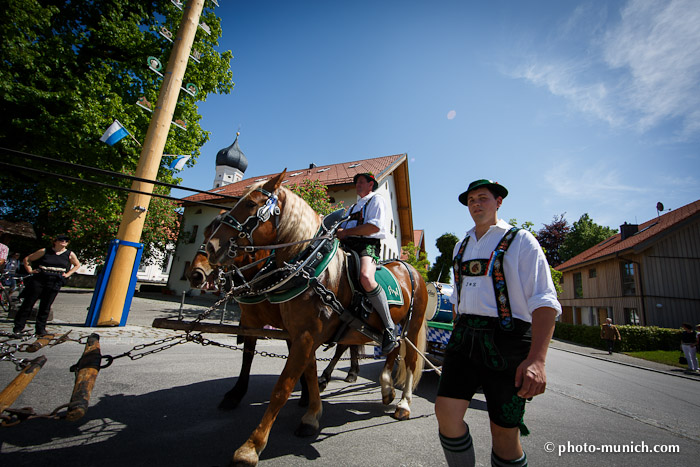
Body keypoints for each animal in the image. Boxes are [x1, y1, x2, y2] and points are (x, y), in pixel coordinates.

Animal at [205, 172, 430, 467]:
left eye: (252, 204)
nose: (211, 247)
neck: (313, 271)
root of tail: (410, 268)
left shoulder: (305, 337)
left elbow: (282, 388)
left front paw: (251, 447)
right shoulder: (302, 336)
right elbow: (309, 377)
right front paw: (312, 416)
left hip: (412, 326)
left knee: (412, 361)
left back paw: (403, 404)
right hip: (388, 327)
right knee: (392, 349)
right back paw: (386, 389)